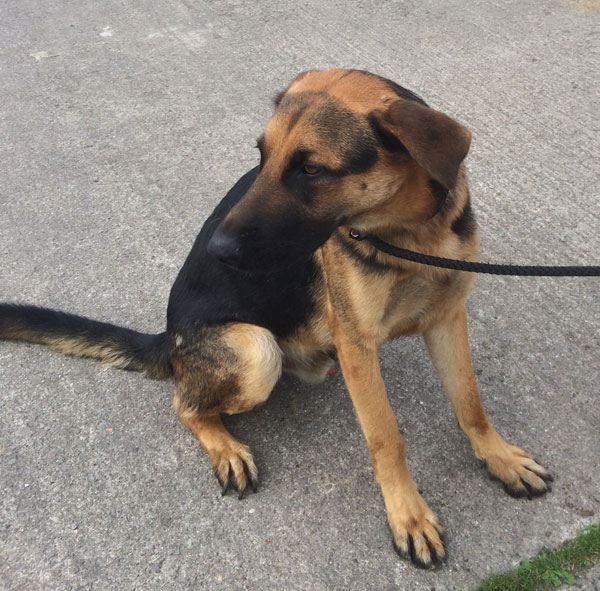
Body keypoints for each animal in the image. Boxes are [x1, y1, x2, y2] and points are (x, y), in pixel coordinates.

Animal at [0, 68, 552, 568]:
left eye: (311, 170)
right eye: (261, 158)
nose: (217, 251)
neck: (409, 234)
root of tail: (170, 336)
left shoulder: (447, 316)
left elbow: (470, 402)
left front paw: (499, 457)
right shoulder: (358, 345)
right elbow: (387, 438)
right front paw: (409, 516)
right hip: (255, 351)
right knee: (185, 404)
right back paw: (226, 448)